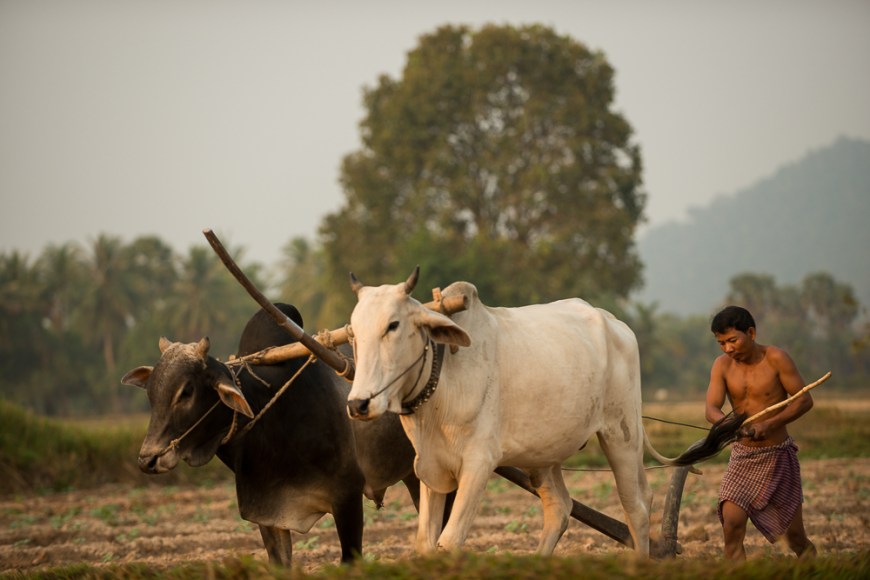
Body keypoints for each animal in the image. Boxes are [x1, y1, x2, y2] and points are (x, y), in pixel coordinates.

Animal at [346, 268, 654, 557]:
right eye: (354, 333)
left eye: (393, 325)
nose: (358, 404)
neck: (444, 382)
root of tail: (615, 323)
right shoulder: (429, 465)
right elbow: (426, 543)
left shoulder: (479, 462)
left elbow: (449, 541)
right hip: (543, 453)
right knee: (560, 508)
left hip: (622, 436)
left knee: (636, 508)